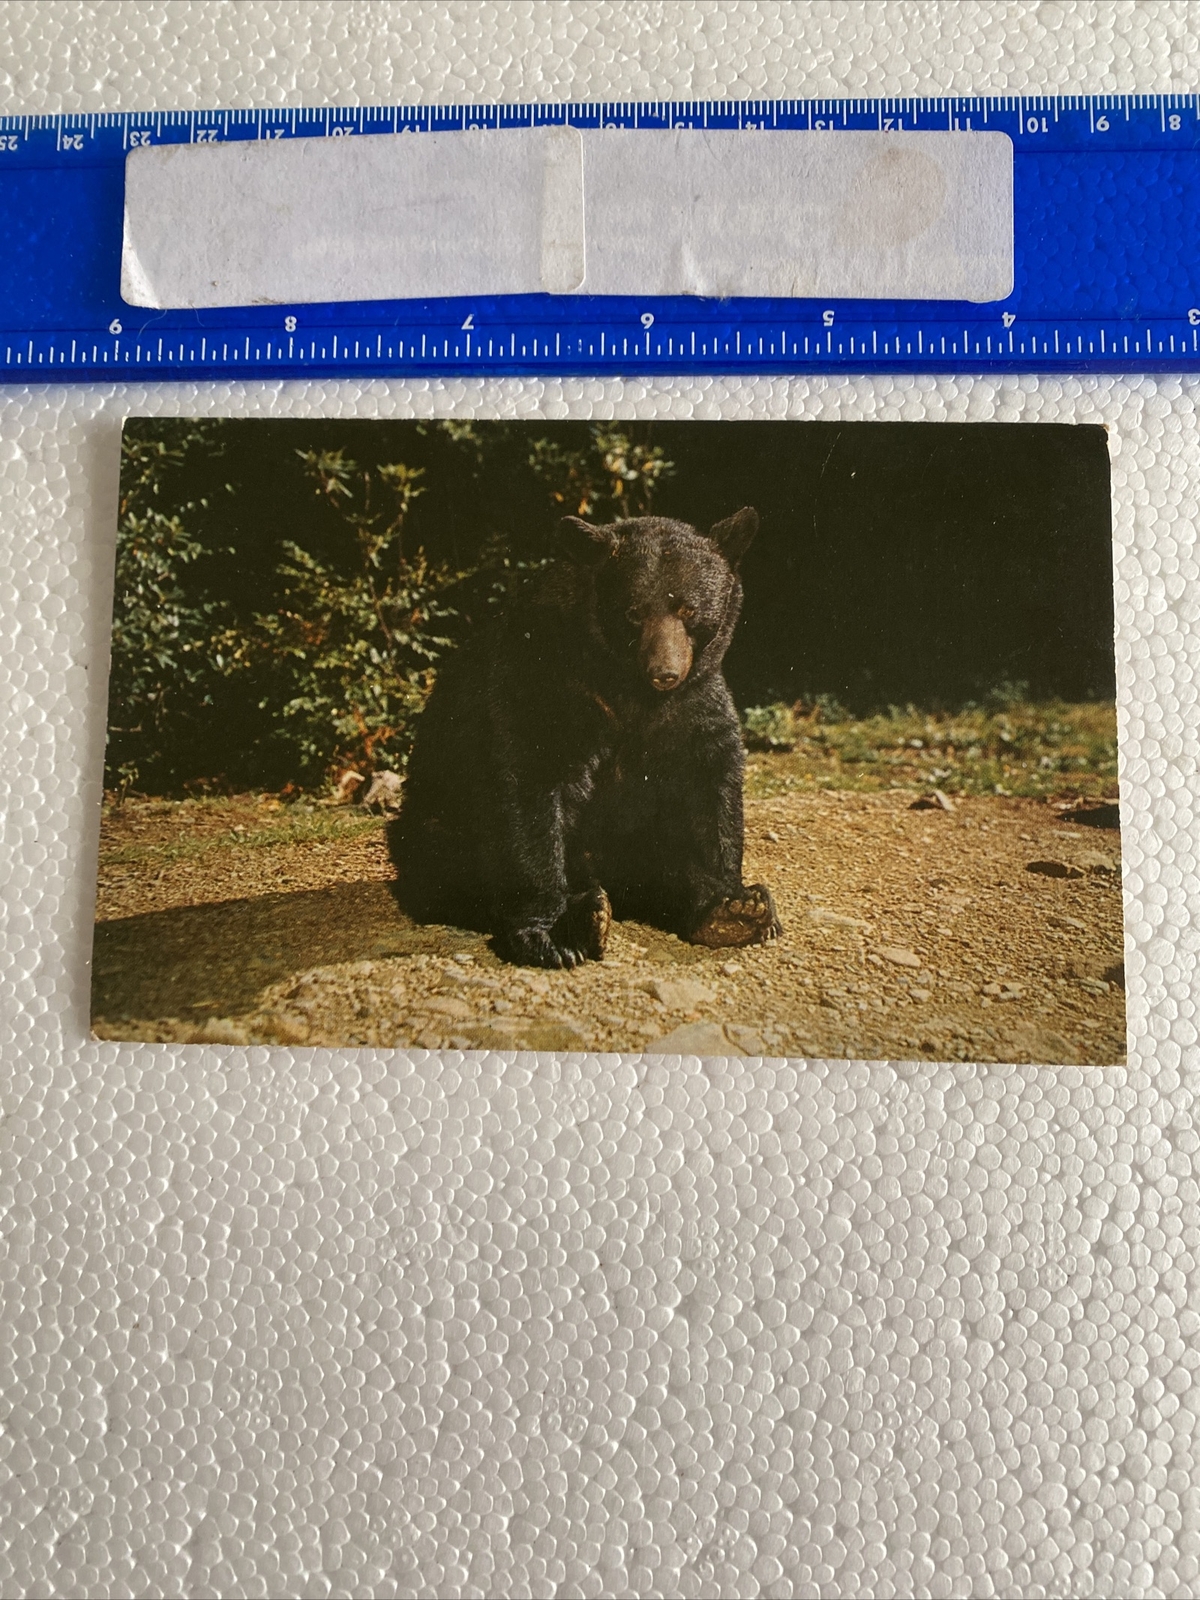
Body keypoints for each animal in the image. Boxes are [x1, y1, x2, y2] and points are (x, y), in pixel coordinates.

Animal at [390, 507, 782, 969]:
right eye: (633, 612)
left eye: (688, 609)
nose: (664, 672)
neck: (626, 686)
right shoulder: (545, 674)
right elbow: (532, 782)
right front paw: (550, 936)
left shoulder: (694, 701)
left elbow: (709, 781)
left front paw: (730, 896)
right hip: (434, 822)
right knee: (444, 860)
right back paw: (587, 911)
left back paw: (734, 914)